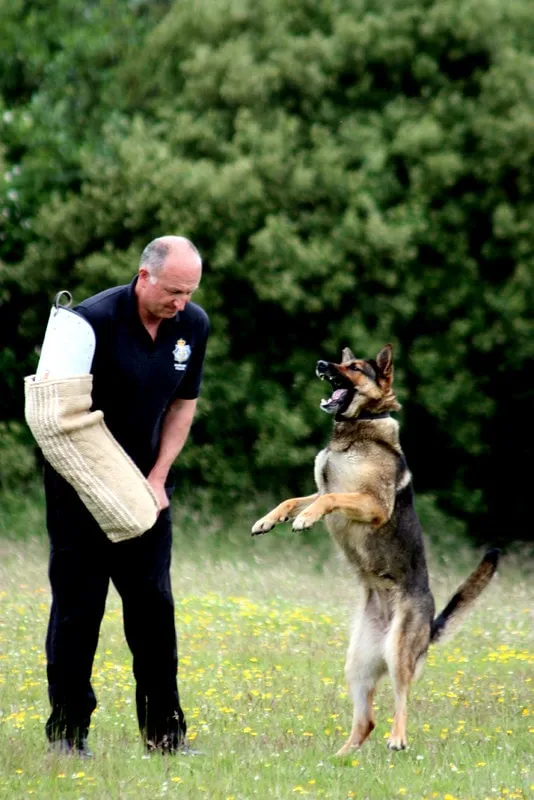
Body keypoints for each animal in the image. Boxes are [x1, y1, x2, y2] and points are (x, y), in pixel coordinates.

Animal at [253, 346, 500, 752]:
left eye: (354, 368)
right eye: (340, 362)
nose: (322, 365)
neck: (358, 427)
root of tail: (427, 622)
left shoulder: (371, 505)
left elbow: (329, 498)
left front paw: (304, 521)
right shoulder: (322, 491)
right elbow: (296, 499)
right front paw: (268, 520)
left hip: (398, 651)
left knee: (401, 698)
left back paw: (398, 738)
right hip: (356, 663)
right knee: (365, 721)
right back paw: (340, 757)